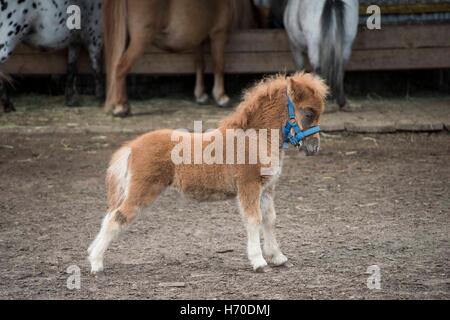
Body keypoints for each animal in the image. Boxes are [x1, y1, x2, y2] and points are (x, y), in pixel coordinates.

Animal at [88, 72, 326, 272]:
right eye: (308, 113)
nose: (314, 147)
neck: (255, 139)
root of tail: (132, 146)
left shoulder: (266, 189)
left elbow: (270, 219)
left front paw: (277, 257)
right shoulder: (248, 187)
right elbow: (253, 220)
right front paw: (258, 261)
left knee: (110, 215)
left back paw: (92, 254)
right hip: (143, 190)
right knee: (117, 217)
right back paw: (96, 263)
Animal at [102, 0, 256, 117]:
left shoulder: (198, 40)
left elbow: (200, 64)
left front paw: (200, 95)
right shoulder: (218, 33)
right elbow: (219, 65)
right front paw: (221, 97)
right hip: (140, 39)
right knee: (121, 67)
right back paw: (120, 107)